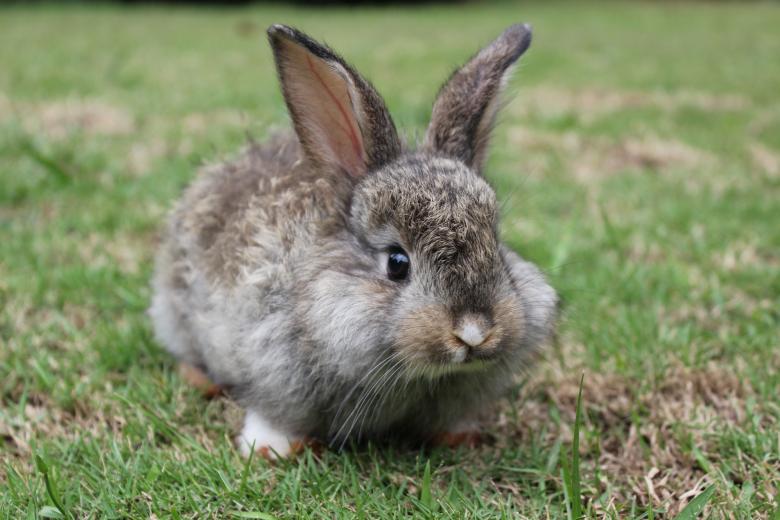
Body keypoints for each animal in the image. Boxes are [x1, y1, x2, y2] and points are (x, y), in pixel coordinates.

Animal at [149, 23, 557, 458]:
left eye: (495, 245)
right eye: (397, 263)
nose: (474, 332)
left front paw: (461, 436)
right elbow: (272, 413)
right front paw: (269, 449)